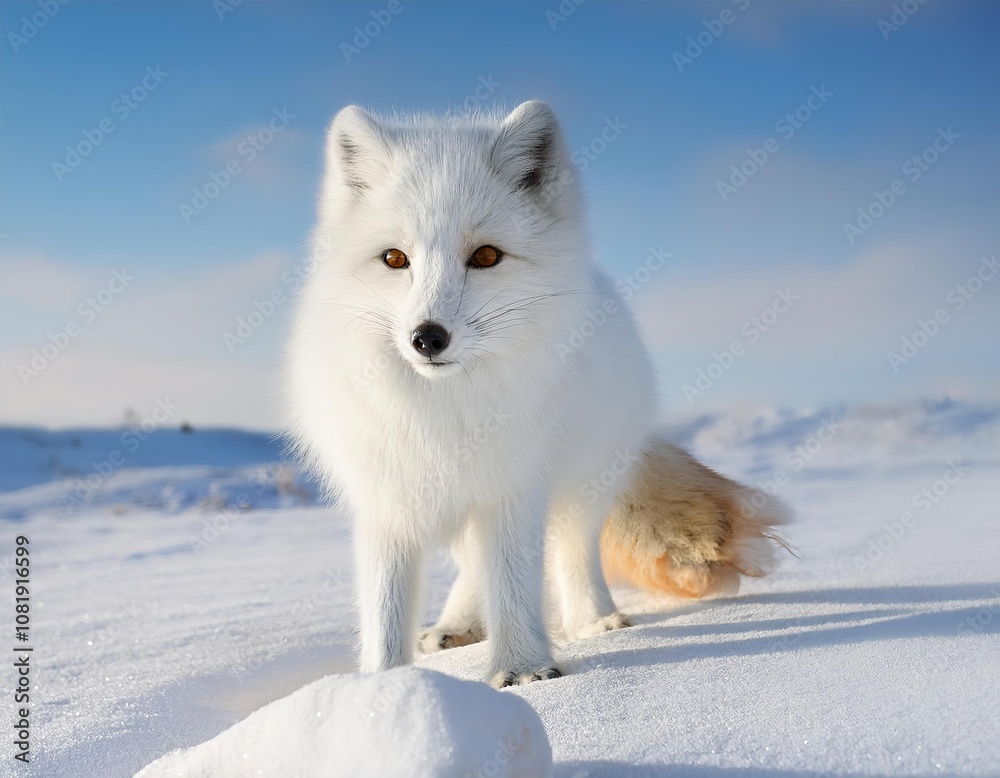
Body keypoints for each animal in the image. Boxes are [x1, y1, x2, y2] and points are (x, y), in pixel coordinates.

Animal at [285, 100, 790, 688]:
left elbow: (514, 583)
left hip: (582, 485)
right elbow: (386, 612)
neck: (446, 409)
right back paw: (456, 627)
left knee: (571, 555)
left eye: (485, 256)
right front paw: (383, 687)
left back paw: (596, 623)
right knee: (473, 568)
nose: (427, 337)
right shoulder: (389, 499)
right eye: (393, 259)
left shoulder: (515, 486)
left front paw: (523, 671)